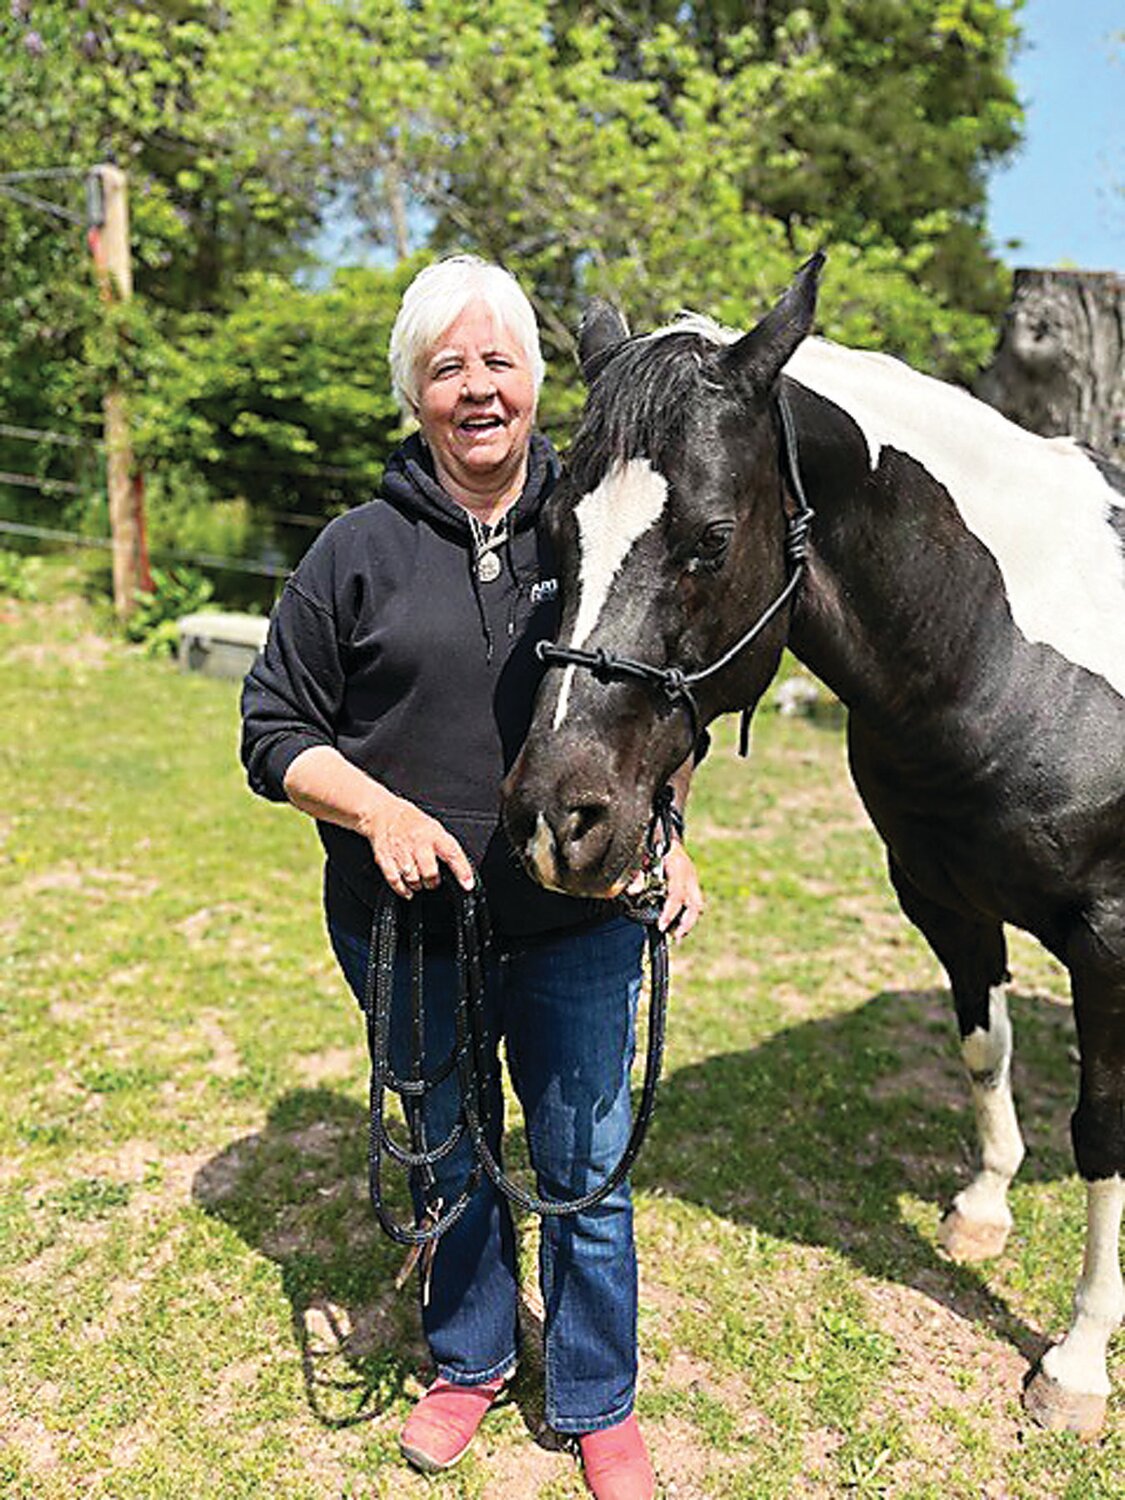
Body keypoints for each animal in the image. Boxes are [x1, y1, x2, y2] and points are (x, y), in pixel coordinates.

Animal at [507, 258, 1125, 1440]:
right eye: (554, 533)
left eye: (708, 538)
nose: (557, 820)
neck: (1011, 651)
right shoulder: (943, 896)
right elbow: (983, 1049)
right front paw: (982, 1208)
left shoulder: (1111, 943)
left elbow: (1103, 1125)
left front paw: (1075, 1364)